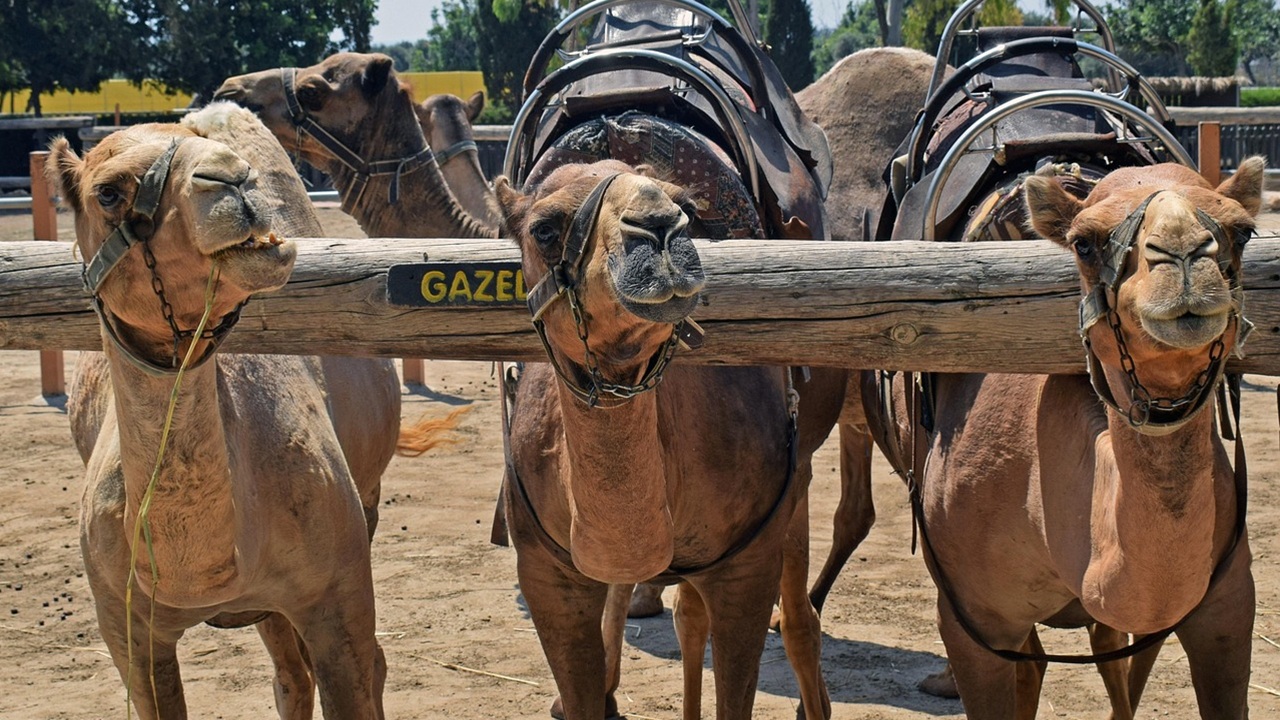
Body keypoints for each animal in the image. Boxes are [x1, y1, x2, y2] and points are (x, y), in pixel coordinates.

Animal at [50, 102, 453, 718]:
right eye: (109, 192)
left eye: (193, 138)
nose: (232, 177)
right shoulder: (124, 630)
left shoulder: (337, 594)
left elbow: (357, 670)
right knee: (289, 675)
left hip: (365, 505)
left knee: (357, 665)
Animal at [498, 160, 835, 720]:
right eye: (544, 229)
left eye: (688, 208)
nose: (657, 227)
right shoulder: (546, 575)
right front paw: (582, 698)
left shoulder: (746, 567)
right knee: (683, 611)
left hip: (799, 473)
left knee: (794, 620)